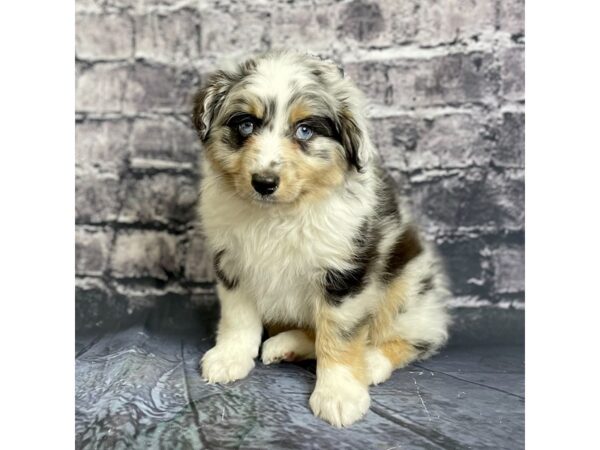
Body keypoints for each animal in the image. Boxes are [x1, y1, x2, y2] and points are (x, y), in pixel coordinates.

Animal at [192, 51, 450, 428]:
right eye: (246, 125)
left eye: (305, 130)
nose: (264, 182)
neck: (279, 215)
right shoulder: (233, 262)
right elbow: (238, 318)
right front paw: (229, 358)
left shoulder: (344, 274)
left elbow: (339, 336)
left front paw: (339, 394)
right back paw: (284, 345)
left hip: (409, 288)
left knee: (414, 336)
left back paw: (371, 362)